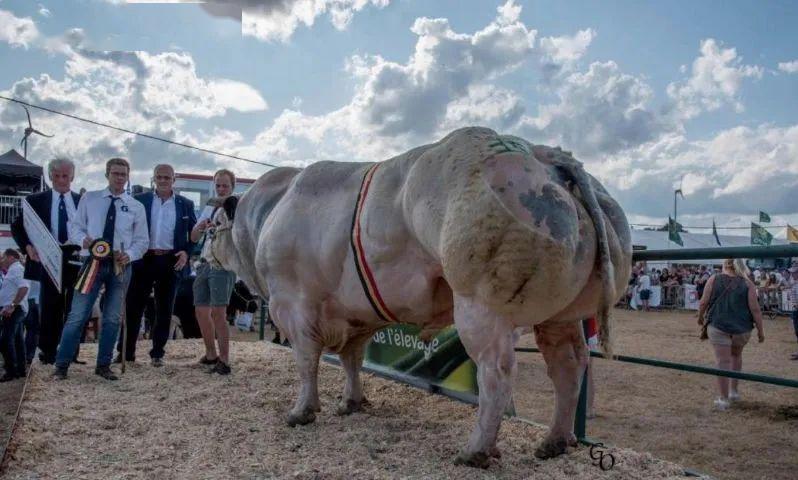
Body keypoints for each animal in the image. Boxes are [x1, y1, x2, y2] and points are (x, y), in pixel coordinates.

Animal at [206, 125, 632, 466]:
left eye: (212, 224)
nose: (202, 249)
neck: (269, 213)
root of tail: (544, 155)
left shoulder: (293, 304)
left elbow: (306, 361)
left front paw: (301, 412)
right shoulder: (357, 314)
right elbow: (351, 360)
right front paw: (352, 402)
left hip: (481, 305)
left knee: (496, 373)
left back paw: (475, 450)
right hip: (561, 315)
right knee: (568, 366)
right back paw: (554, 441)